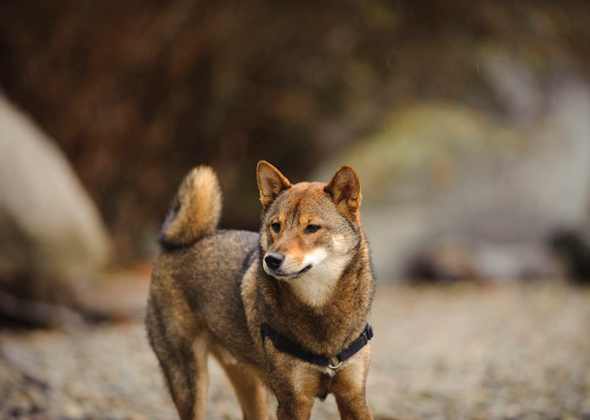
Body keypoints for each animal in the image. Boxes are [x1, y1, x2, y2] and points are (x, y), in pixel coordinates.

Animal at [145, 159, 374, 418]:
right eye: (276, 226)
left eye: (312, 228)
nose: (272, 260)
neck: (320, 309)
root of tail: (179, 245)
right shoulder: (292, 402)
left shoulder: (353, 397)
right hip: (191, 384)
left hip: (251, 389)